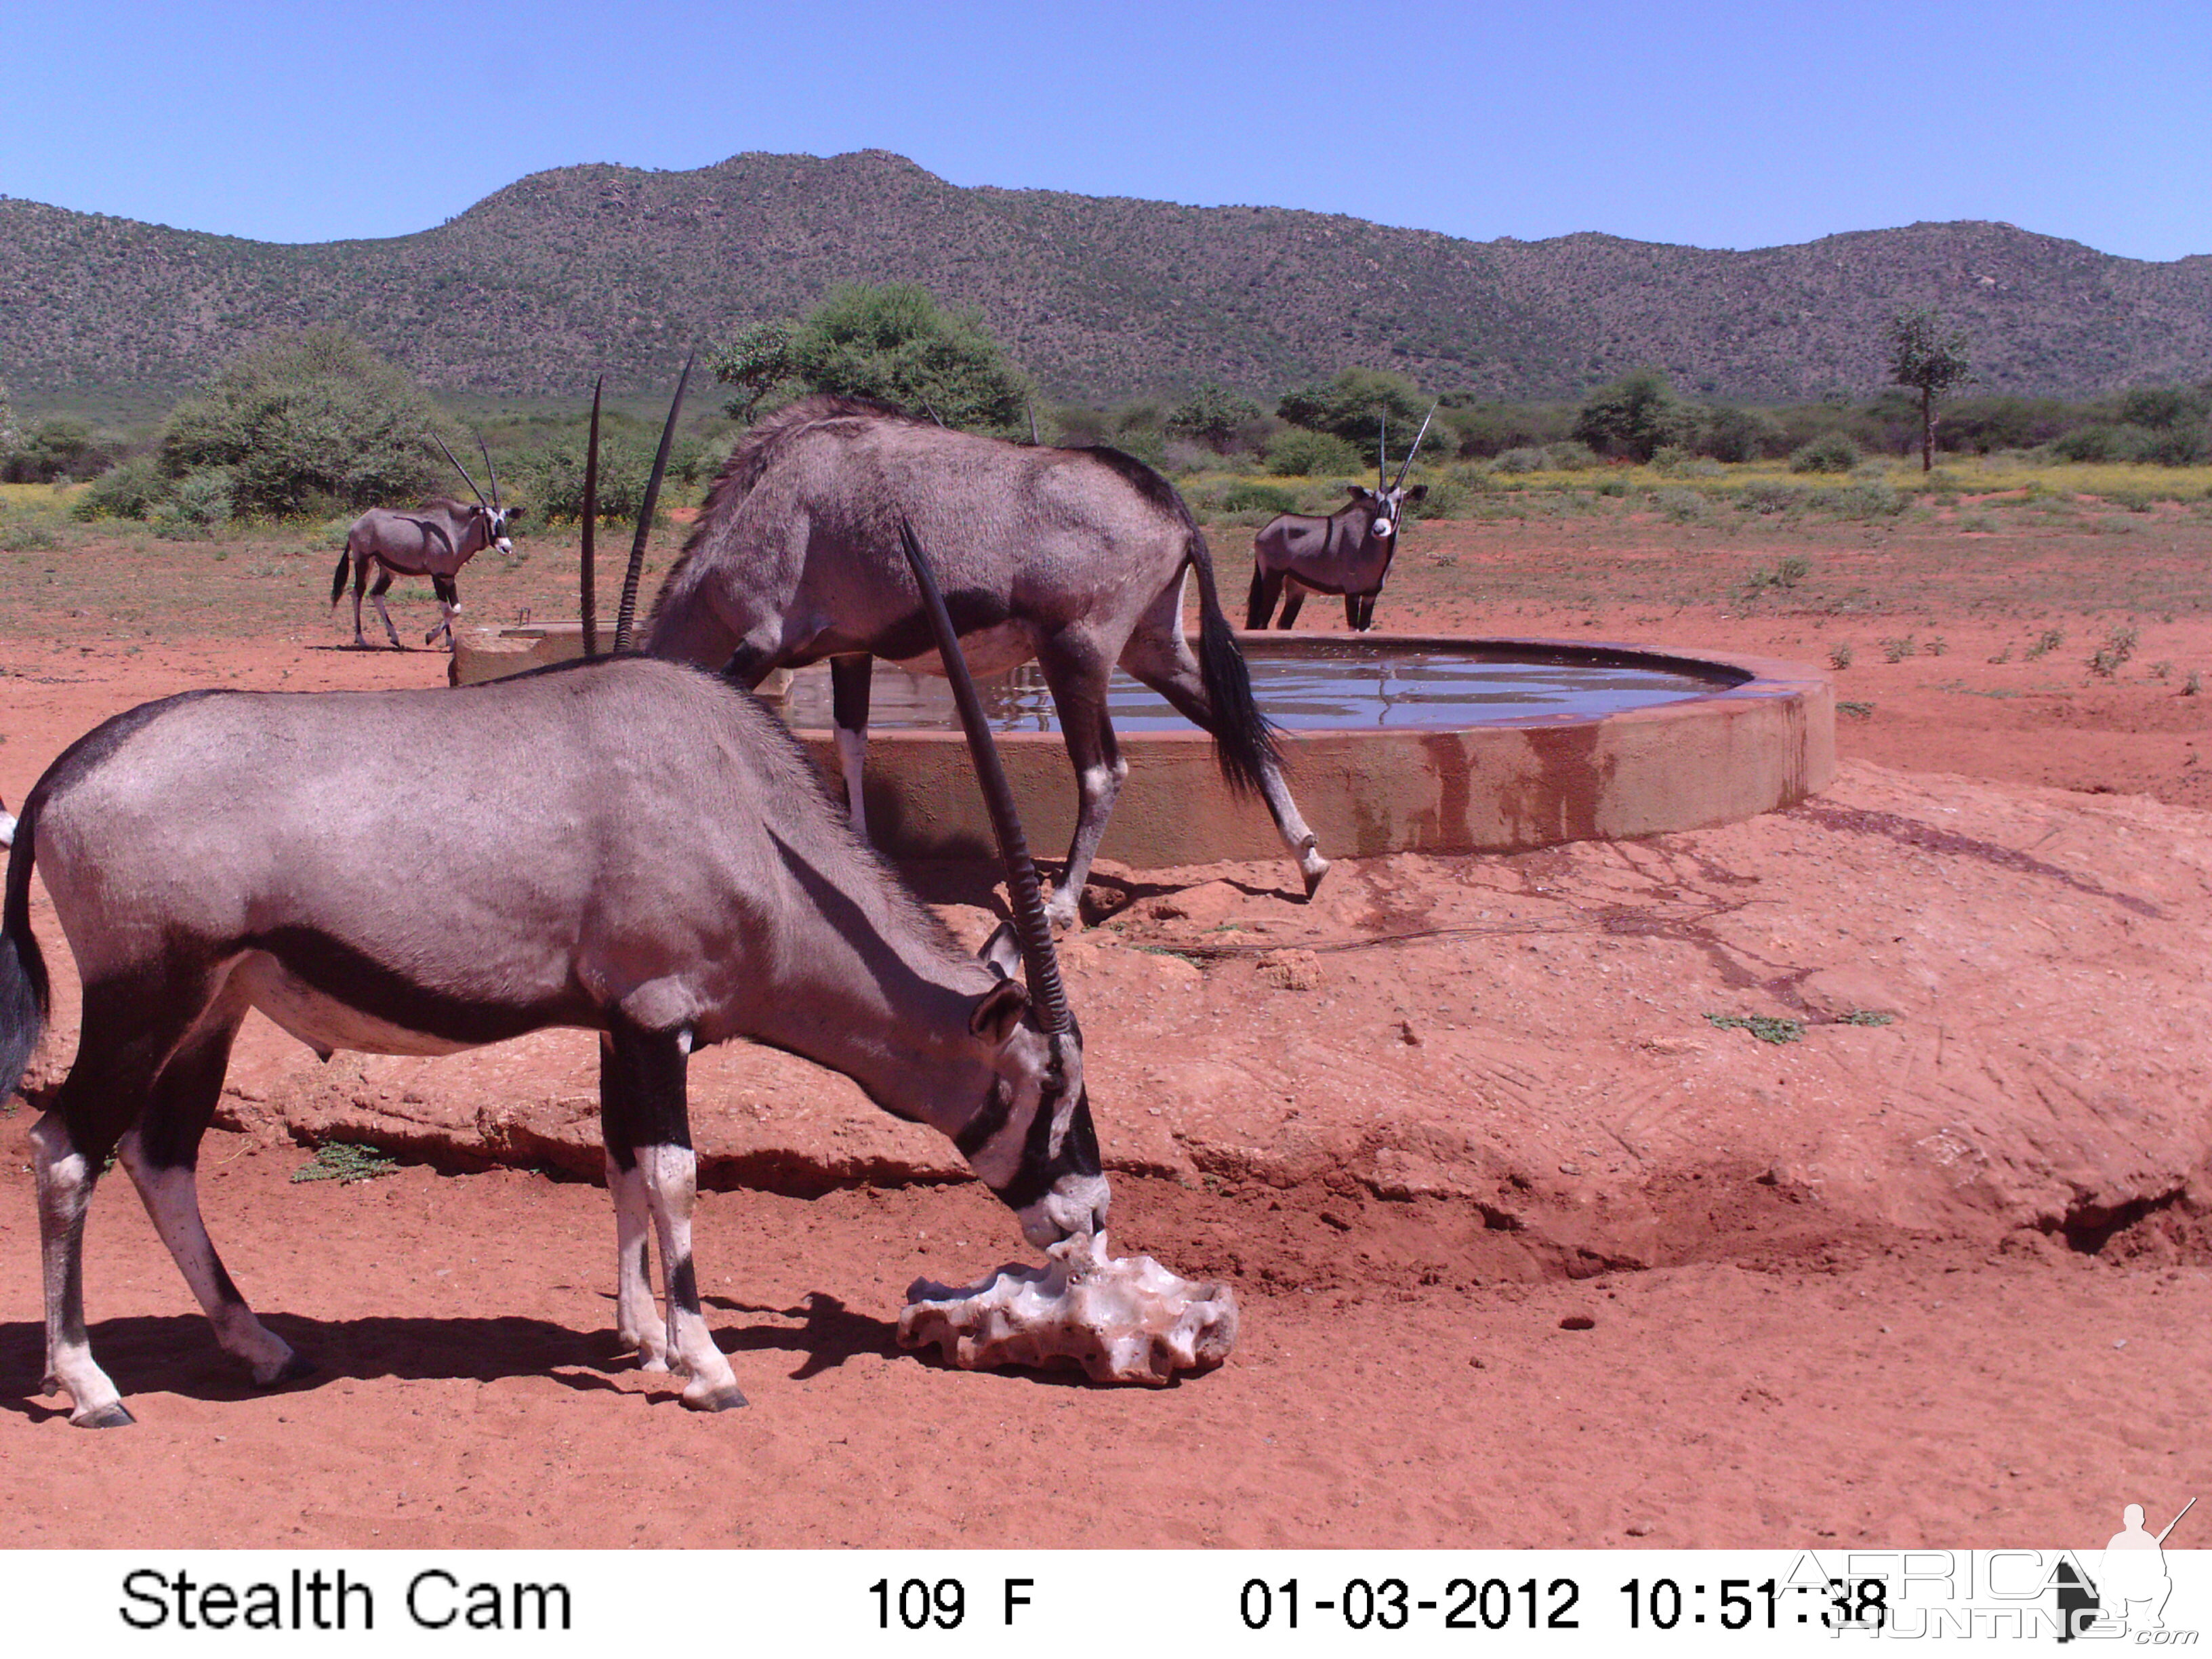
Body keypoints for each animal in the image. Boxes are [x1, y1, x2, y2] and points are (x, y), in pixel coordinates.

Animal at [0, 497, 1106, 1433]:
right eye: (1046, 1085)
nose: (1090, 1220)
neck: (743, 812)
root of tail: (66, 773)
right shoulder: (659, 1017)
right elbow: (675, 1176)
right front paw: (706, 1365)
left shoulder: (621, 1024)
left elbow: (620, 1164)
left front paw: (645, 1338)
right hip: (146, 999)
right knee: (65, 1150)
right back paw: (90, 1384)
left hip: (213, 1009)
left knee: (161, 1157)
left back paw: (260, 1344)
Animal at [329, 429, 520, 650]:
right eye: (488, 519)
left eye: (504, 518)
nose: (506, 547)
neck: (455, 529)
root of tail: (357, 524)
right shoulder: (436, 575)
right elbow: (447, 609)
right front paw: (431, 637)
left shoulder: (449, 576)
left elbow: (455, 608)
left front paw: (449, 641)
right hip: (363, 560)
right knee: (357, 594)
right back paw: (361, 638)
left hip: (387, 569)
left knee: (376, 594)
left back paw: (395, 637)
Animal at [641, 396, 1327, 928]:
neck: (765, 496)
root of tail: (1169, 504)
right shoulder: (851, 651)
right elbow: (850, 743)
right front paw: (860, 851)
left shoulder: (765, 642)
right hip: (1150, 649)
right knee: (1237, 724)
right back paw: (1310, 860)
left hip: (1074, 656)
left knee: (1103, 772)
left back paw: (1062, 904)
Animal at [1247, 407, 1433, 632]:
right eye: (1375, 500)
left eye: (1400, 500)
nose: (1379, 530)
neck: (1369, 546)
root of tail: (1265, 531)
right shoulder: (1351, 593)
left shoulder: (1371, 595)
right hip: (1272, 579)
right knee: (1261, 623)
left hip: (1296, 588)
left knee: (1284, 624)